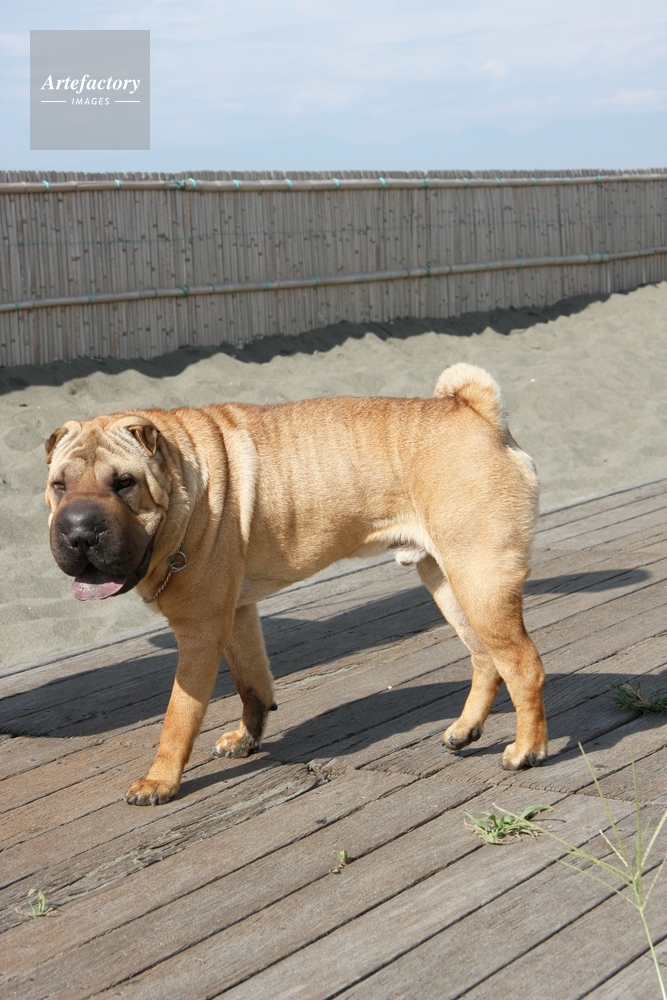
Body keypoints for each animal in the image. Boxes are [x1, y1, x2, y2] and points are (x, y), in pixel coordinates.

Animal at [45, 363, 548, 805]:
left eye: (125, 483)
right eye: (58, 485)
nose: (80, 531)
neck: (187, 482)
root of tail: (479, 413)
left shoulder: (200, 631)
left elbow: (178, 717)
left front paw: (160, 781)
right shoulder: (237, 615)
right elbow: (252, 683)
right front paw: (246, 739)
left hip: (479, 579)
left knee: (523, 665)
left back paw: (526, 751)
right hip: (448, 581)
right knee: (486, 659)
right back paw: (465, 730)